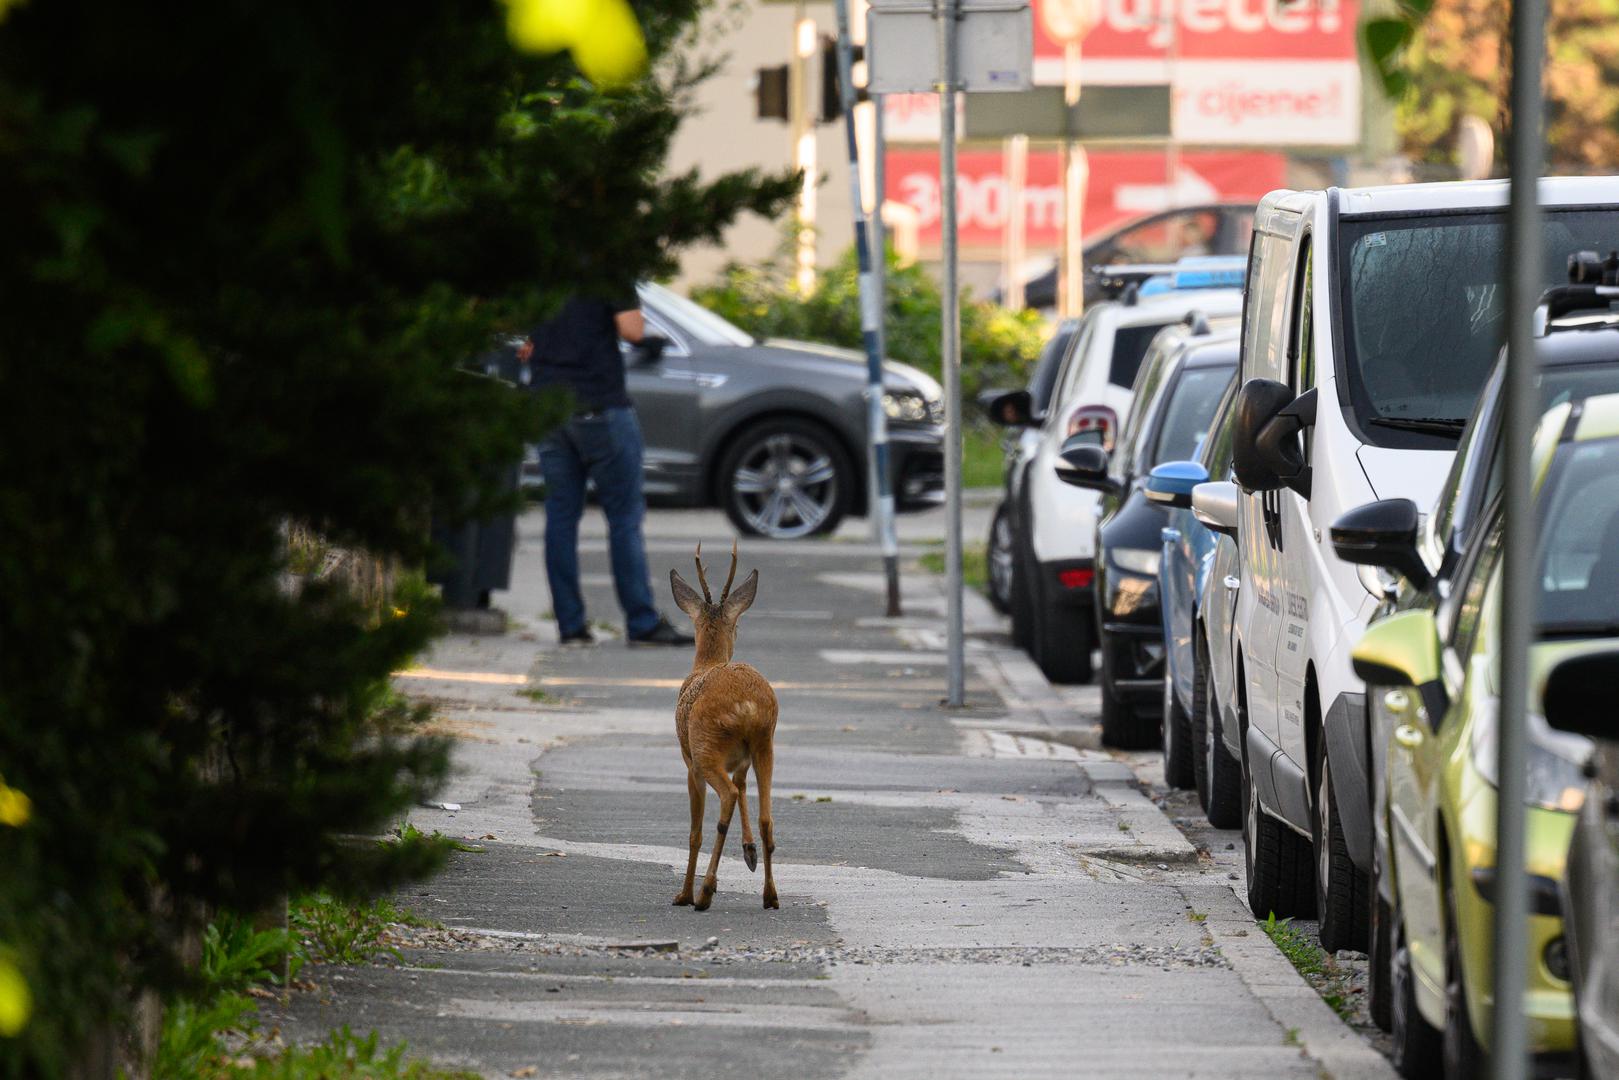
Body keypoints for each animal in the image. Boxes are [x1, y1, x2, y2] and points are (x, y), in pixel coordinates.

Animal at [663, 540, 777, 913]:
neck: (707, 663)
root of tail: (747, 706)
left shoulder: (689, 764)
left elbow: (694, 832)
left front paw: (682, 894)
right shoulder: (741, 762)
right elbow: (743, 788)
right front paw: (749, 852)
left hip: (705, 748)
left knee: (726, 798)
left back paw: (703, 893)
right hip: (765, 743)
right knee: (766, 815)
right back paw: (771, 895)